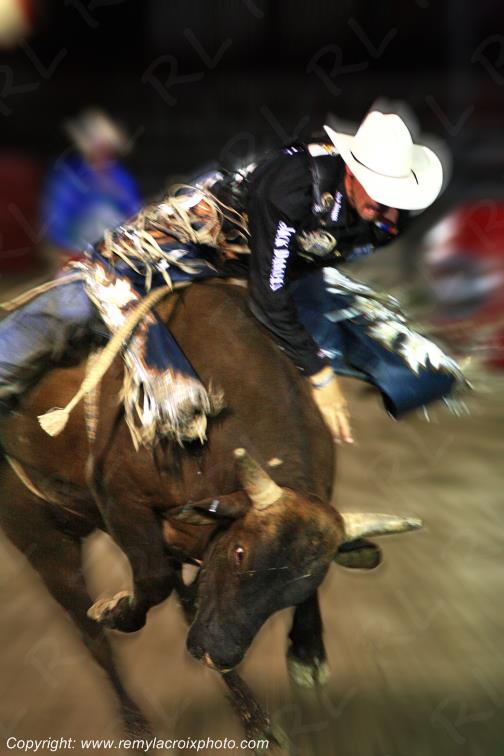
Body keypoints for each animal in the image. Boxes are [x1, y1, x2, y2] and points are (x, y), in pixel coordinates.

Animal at [0, 280, 420, 742]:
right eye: (239, 553)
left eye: (307, 581)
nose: (216, 655)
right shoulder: (118, 495)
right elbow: (151, 581)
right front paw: (117, 611)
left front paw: (307, 652)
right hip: (39, 537)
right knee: (90, 633)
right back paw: (137, 722)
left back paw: (253, 718)